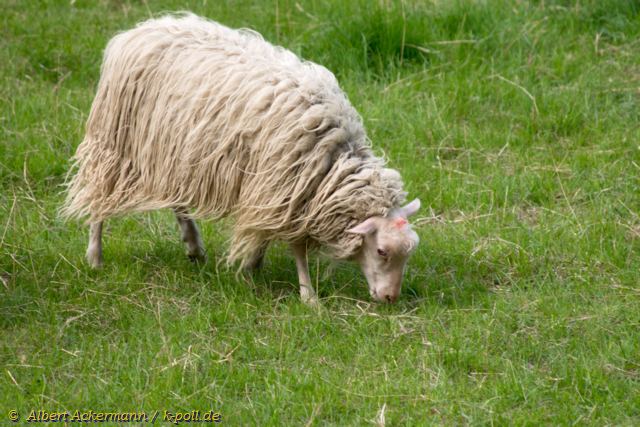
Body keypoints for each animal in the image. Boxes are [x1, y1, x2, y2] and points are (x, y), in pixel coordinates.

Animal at [63, 13, 420, 304]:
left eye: (408, 253)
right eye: (381, 251)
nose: (390, 298)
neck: (333, 159)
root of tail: (136, 32)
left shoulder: (278, 192)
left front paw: (255, 265)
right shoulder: (285, 188)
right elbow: (296, 247)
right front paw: (306, 296)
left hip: (176, 152)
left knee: (177, 199)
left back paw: (193, 246)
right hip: (116, 144)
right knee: (99, 198)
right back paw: (95, 256)